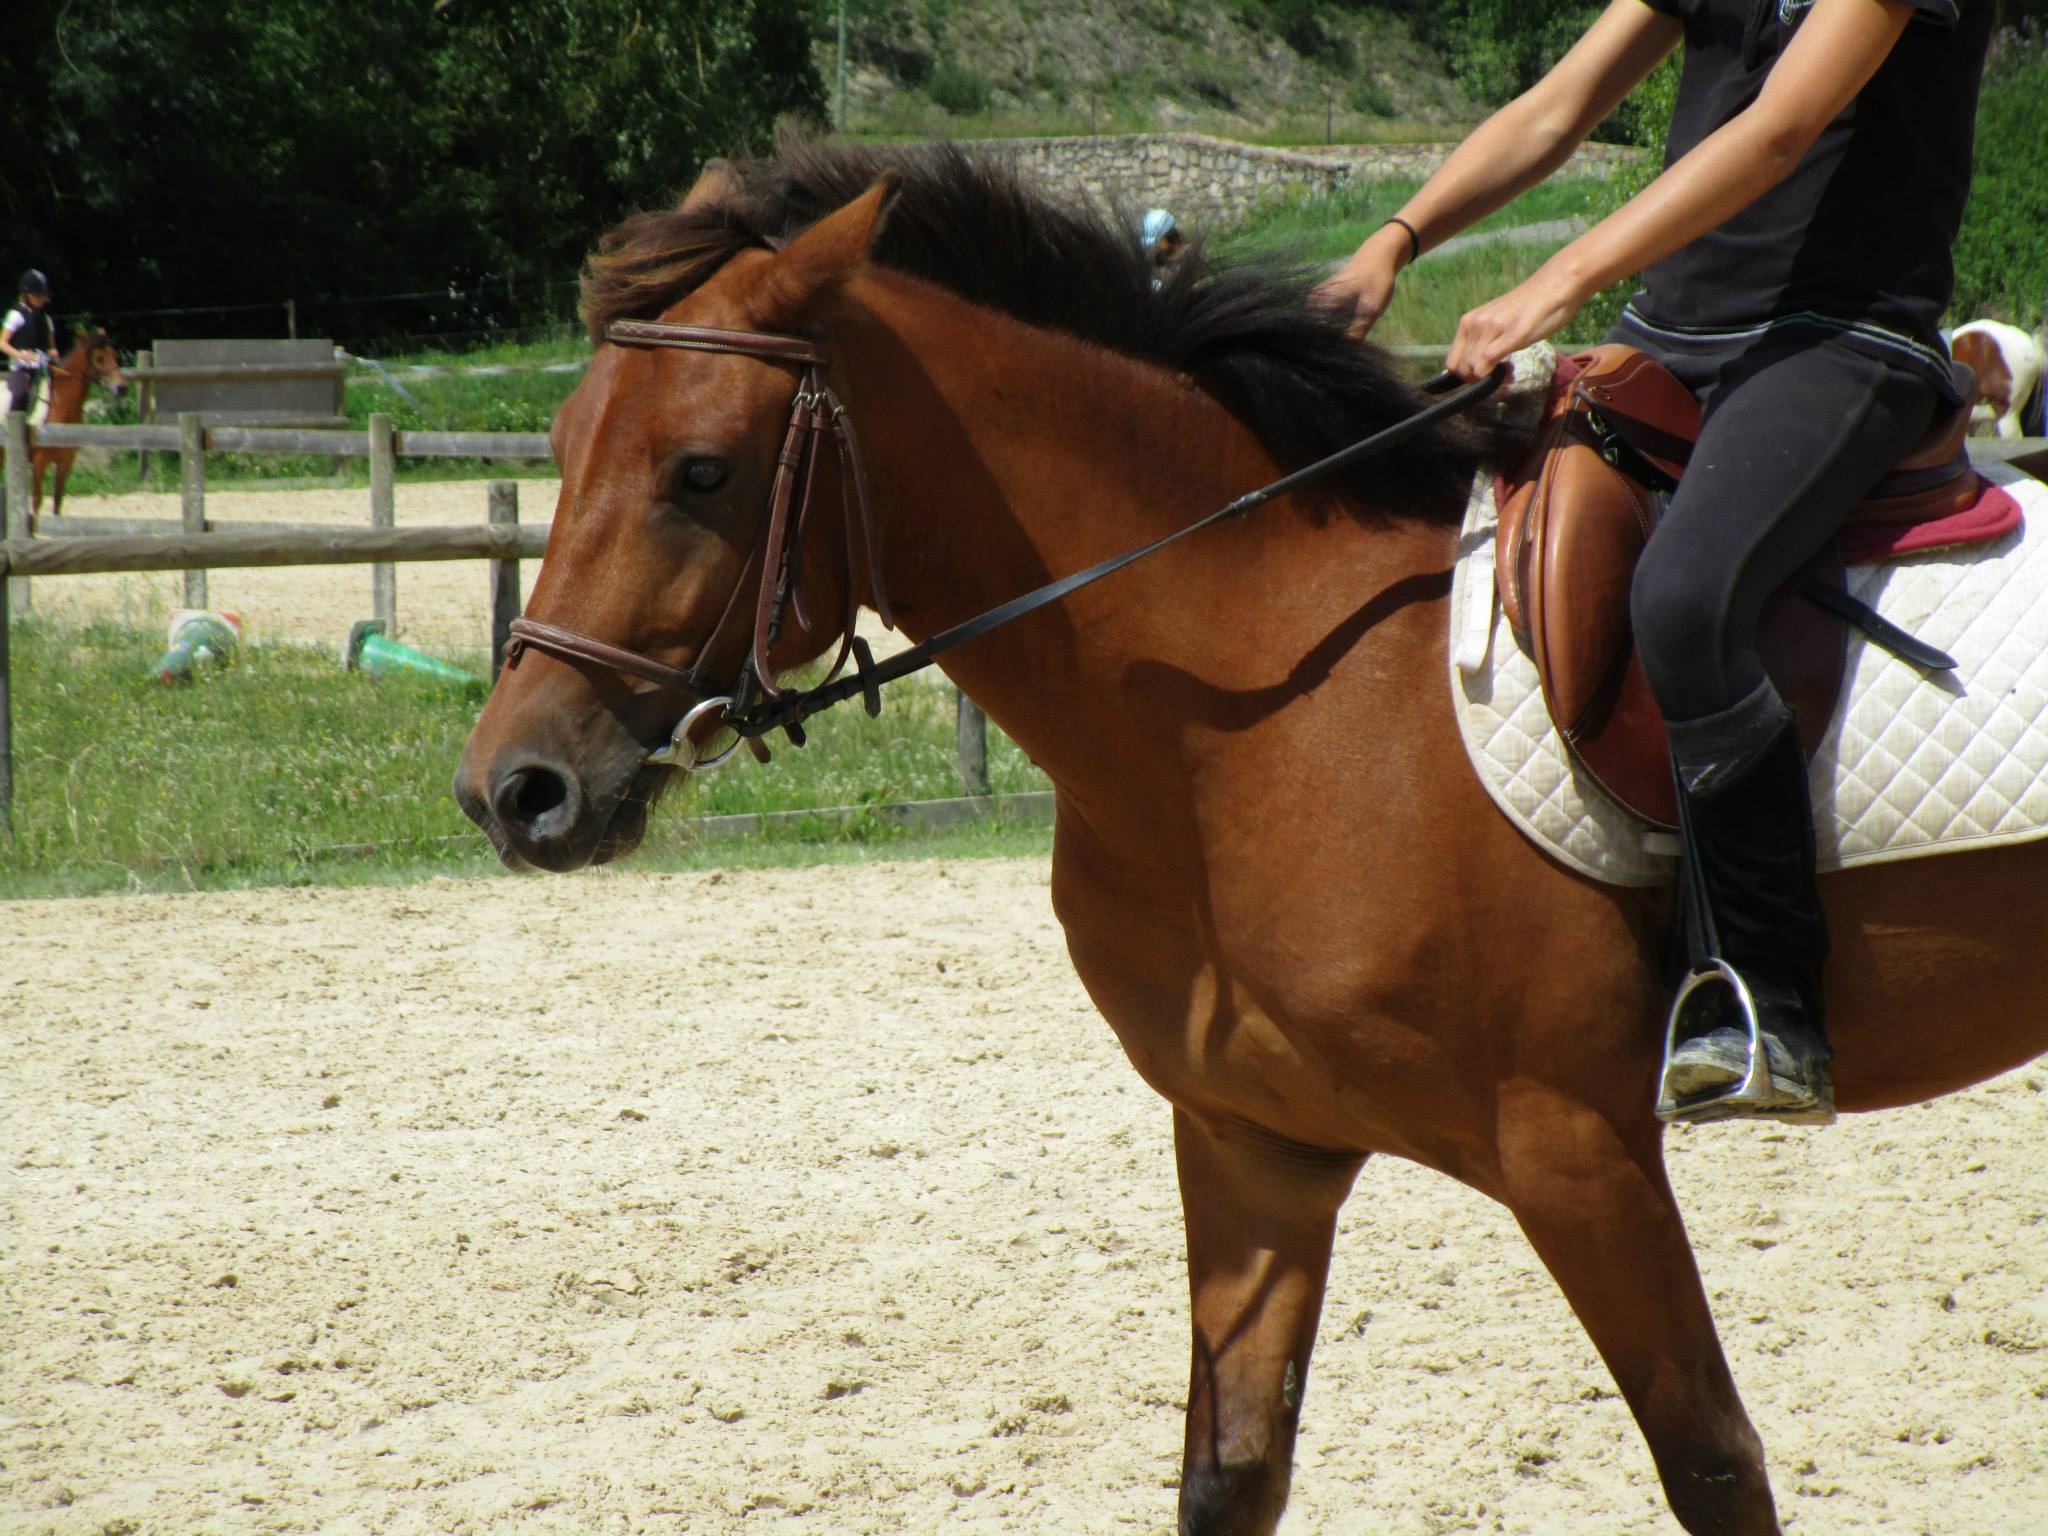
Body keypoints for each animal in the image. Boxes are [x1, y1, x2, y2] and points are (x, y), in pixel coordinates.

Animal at [456, 138, 2039, 1531]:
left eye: (702, 472)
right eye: (564, 447)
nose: (512, 790)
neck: (1265, 696)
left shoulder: (1579, 1156)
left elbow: (1714, 1468)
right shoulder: (1250, 1147)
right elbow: (1230, 1477)